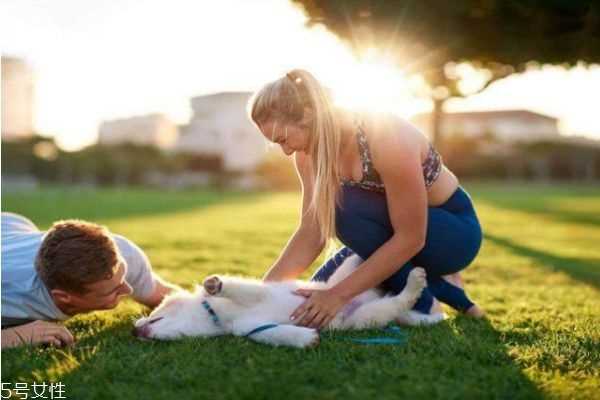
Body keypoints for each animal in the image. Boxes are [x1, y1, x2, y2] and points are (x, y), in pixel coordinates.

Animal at [136, 255, 446, 348]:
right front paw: (305, 339)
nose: (134, 330)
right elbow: (276, 333)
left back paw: (414, 278)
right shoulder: (250, 328)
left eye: (156, 312)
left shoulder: (258, 293)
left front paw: (216, 284)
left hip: (346, 280)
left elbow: (238, 289)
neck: (216, 317)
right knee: (399, 303)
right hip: (368, 316)